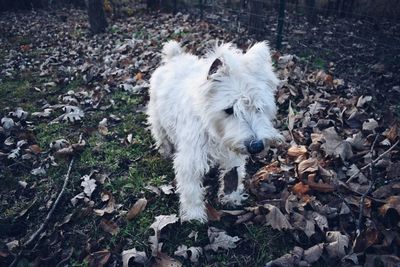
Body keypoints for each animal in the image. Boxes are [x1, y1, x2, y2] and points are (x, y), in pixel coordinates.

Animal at [147, 41, 282, 222]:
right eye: (229, 109)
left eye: (258, 107)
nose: (256, 146)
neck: (216, 132)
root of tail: (174, 57)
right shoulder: (191, 159)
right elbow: (191, 189)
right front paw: (194, 214)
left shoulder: (232, 155)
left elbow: (233, 175)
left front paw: (231, 197)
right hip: (157, 116)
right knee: (161, 135)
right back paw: (165, 151)